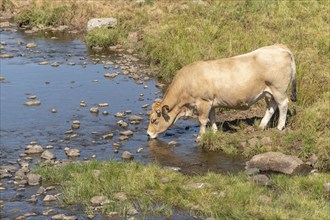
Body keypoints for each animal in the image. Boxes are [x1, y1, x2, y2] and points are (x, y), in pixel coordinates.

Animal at [147, 44, 296, 140]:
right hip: (268, 92)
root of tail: (280, 47)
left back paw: (279, 127)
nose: (148, 134)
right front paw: (214, 131)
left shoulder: (203, 102)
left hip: (278, 89)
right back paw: (261, 126)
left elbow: (202, 120)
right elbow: (212, 117)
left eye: (154, 120)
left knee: (283, 104)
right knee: (271, 107)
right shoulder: (211, 102)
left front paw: (200, 137)